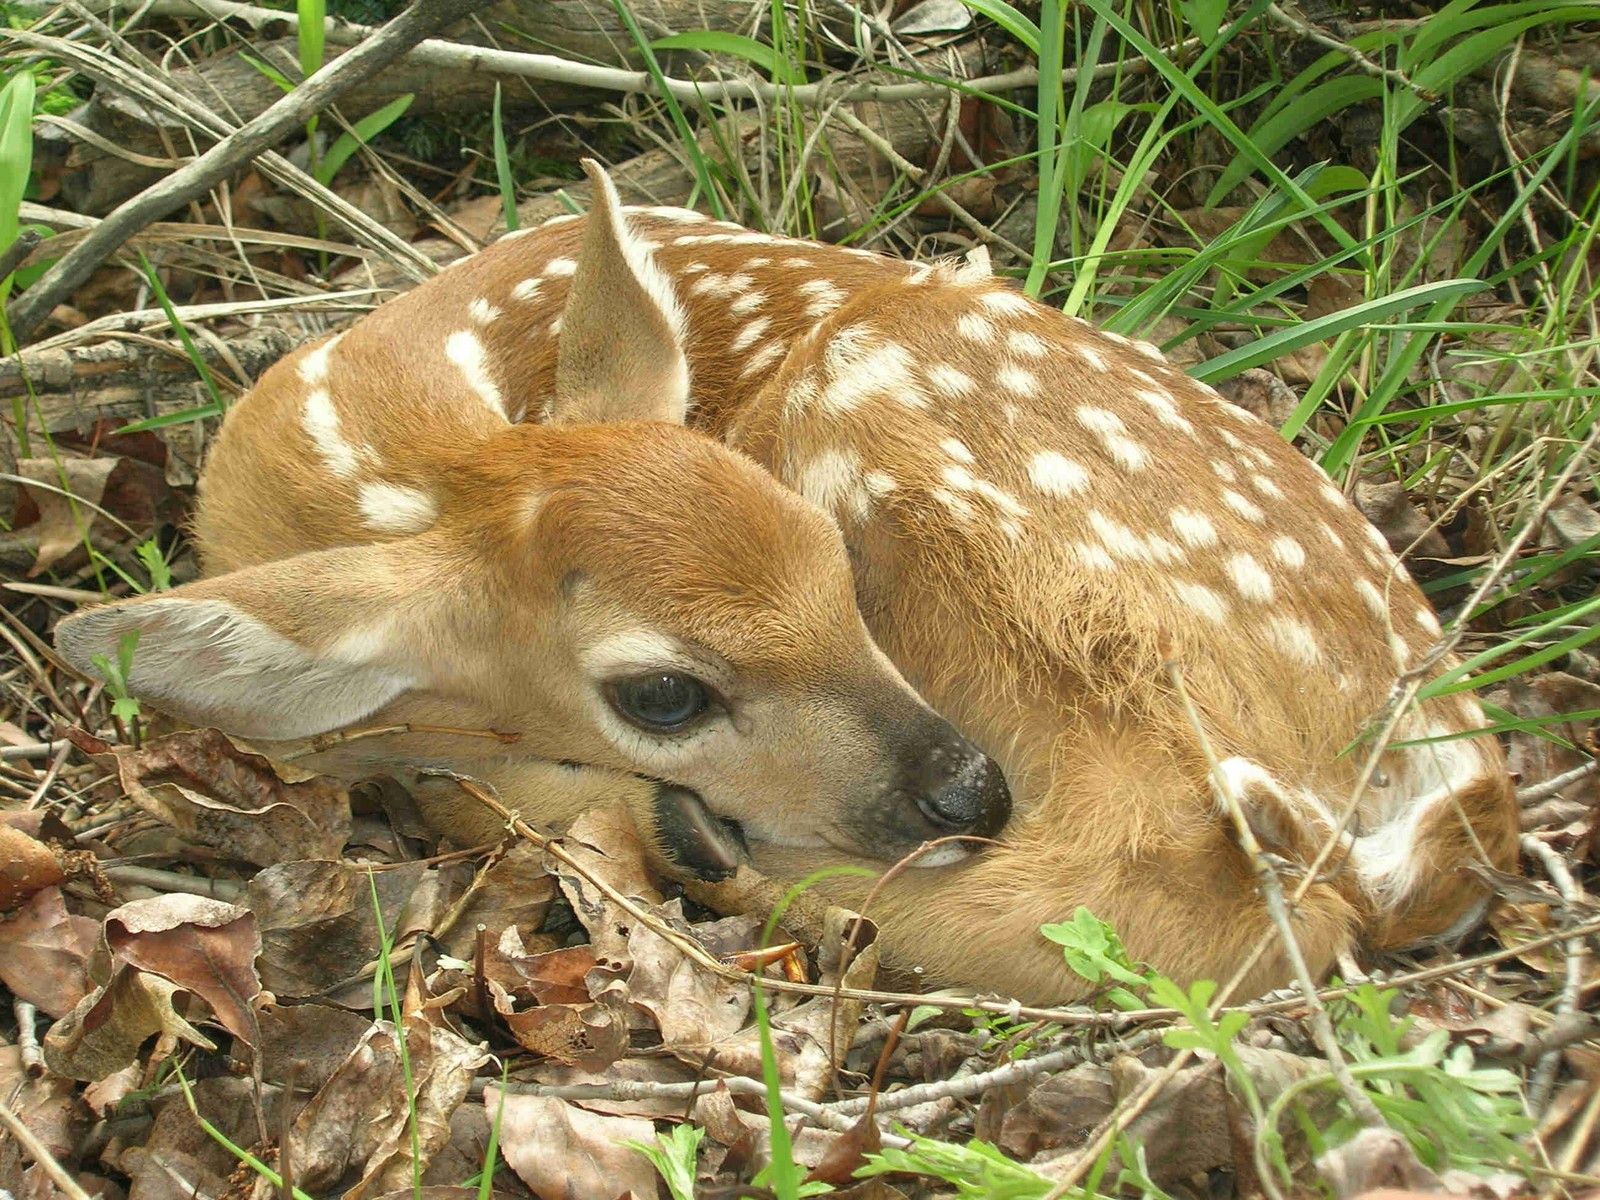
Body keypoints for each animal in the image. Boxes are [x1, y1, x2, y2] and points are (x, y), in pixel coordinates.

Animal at [54, 161, 1519, 1004]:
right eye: (660, 692)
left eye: (835, 563)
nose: (967, 788)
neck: (352, 456)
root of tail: (1455, 802)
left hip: (928, 456)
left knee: (1171, 891)